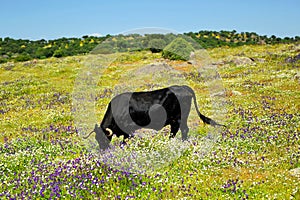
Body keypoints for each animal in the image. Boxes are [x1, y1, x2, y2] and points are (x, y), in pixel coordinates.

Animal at [83, 85, 224, 149]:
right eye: (97, 138)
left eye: (104, 137)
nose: (103, 150)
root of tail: (184, 87)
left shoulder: (128, 129)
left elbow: (125, 142)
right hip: (176, 120)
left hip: (179, 118)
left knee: (182, 130)